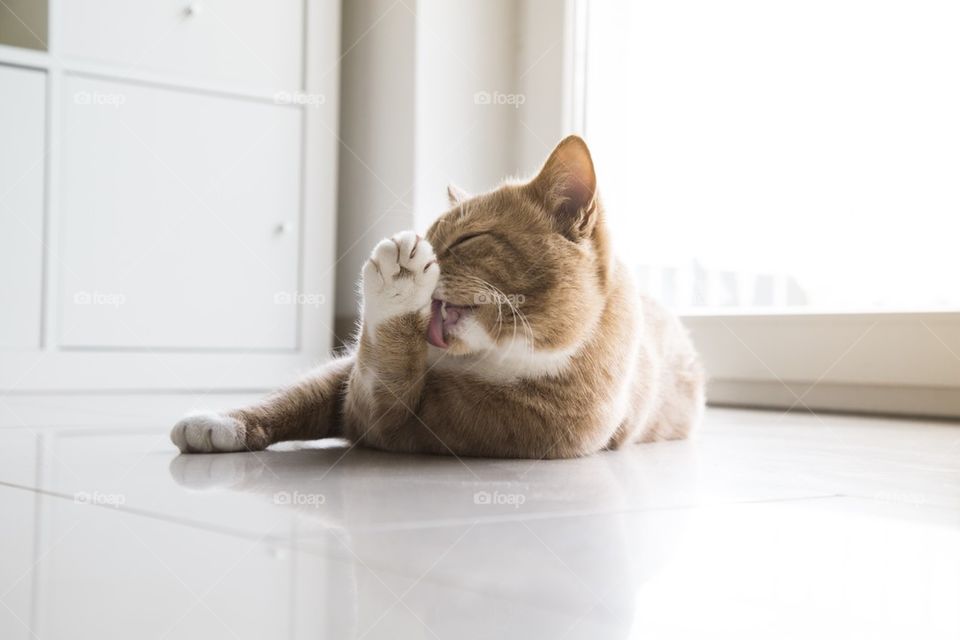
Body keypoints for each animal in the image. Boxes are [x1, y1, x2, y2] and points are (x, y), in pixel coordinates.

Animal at [171, 135, 704, 458]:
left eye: (468, 239)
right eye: (432, 236)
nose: (425, 252)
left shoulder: (404, 424)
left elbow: (377, 386)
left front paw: (396, 285)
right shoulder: (343, 375)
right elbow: (297, 396)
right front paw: (220, 421)